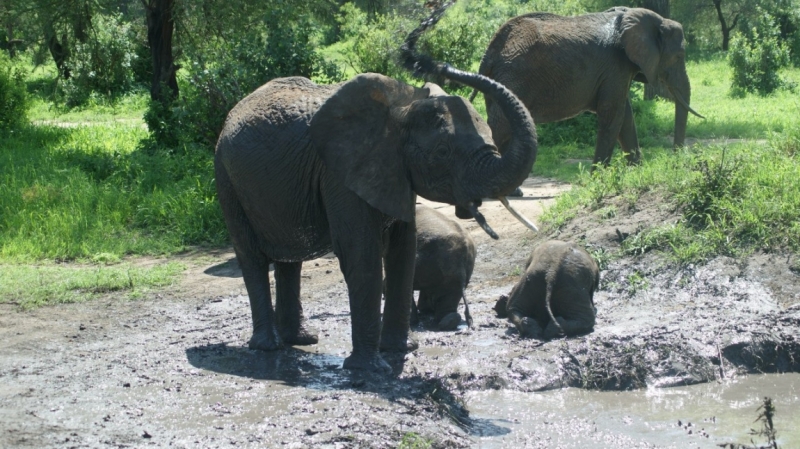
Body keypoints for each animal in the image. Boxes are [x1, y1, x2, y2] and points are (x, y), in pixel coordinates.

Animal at [214, 7, 536, 372]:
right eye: (442, 153)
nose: (422, 55)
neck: (401, 108)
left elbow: (403, 252)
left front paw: (402, 349)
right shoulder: (339, 173)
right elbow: (362, 254)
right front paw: (370, 368)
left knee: (289, 260)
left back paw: (302, 340)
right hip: (226, 177)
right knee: (253, 257)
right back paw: (268, 346)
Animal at [472, 6, 704, 167]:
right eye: (679, 56)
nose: (676, 159)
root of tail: (490, 49)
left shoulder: (617, 70)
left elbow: (626, 116)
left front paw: (638, 171)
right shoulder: (615, 65)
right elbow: (613, 114)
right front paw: (598, 178)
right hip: (514, 74)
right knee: (501, 124)